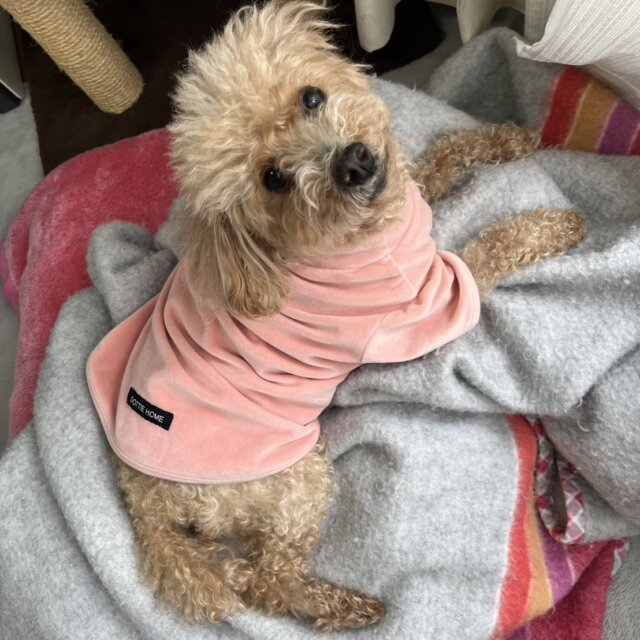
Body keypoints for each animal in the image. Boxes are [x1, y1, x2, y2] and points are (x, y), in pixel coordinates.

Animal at [86, 0, 584, 631]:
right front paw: (554, 225)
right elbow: (490, 250)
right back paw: (351, 607)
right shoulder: (430, 304)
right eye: (272, 178)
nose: (353, 163)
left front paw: (509, 137)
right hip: (299, 481)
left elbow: (443, 155)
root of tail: (146, 503)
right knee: (267, 581)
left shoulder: (405, 183)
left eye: (311, 98)